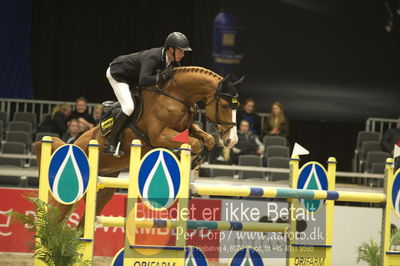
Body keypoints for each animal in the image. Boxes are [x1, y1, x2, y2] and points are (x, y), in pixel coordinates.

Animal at [34, 65, 241, 223]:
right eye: (225, 105)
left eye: (236, 106)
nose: (232, 140)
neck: (176, 95)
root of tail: (72, 145)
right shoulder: (159, 136)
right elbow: (195, 144)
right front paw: (190, 160)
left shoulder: (186, 129)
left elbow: (207, 139)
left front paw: (197, 161)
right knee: (52, 221)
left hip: (104, 189)